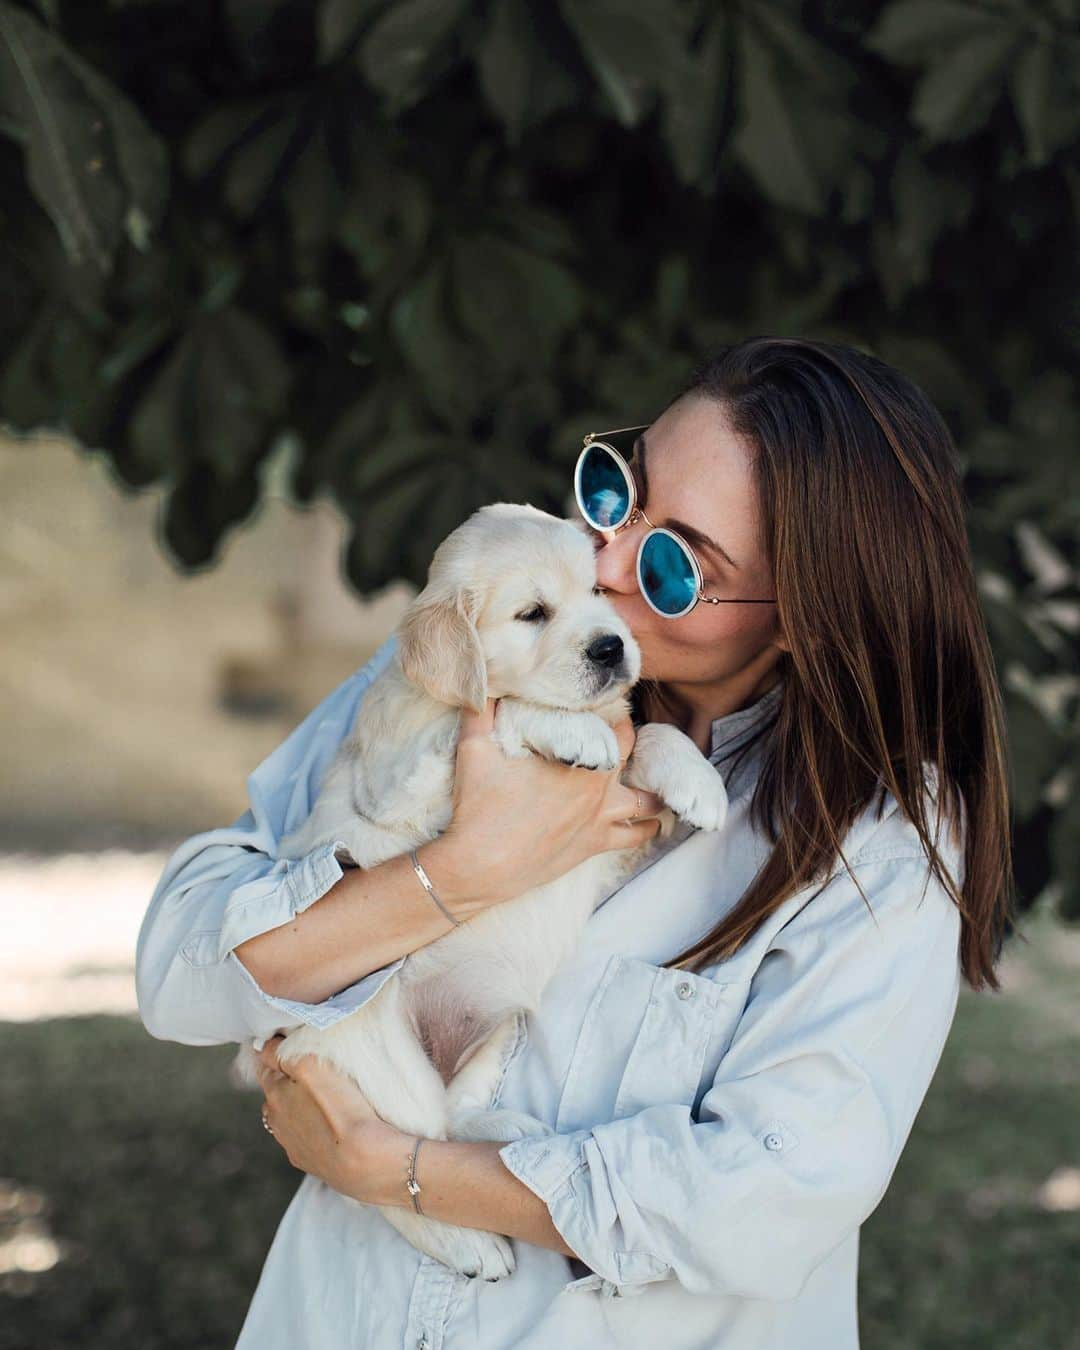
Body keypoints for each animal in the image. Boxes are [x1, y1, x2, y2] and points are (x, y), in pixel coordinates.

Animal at [233, 504, 723, 1274]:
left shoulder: (621, 852)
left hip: (498, 1031)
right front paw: (572, 731)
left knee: (451, 1123)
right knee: (385, 1159)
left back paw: (511, 1132)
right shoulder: (404, 788)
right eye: (532, 614)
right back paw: (467, 1242)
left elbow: (647, 737)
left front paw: (696, 777)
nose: (613, 647)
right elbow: (506, 712)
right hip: (364, 1048)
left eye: (599, 593)